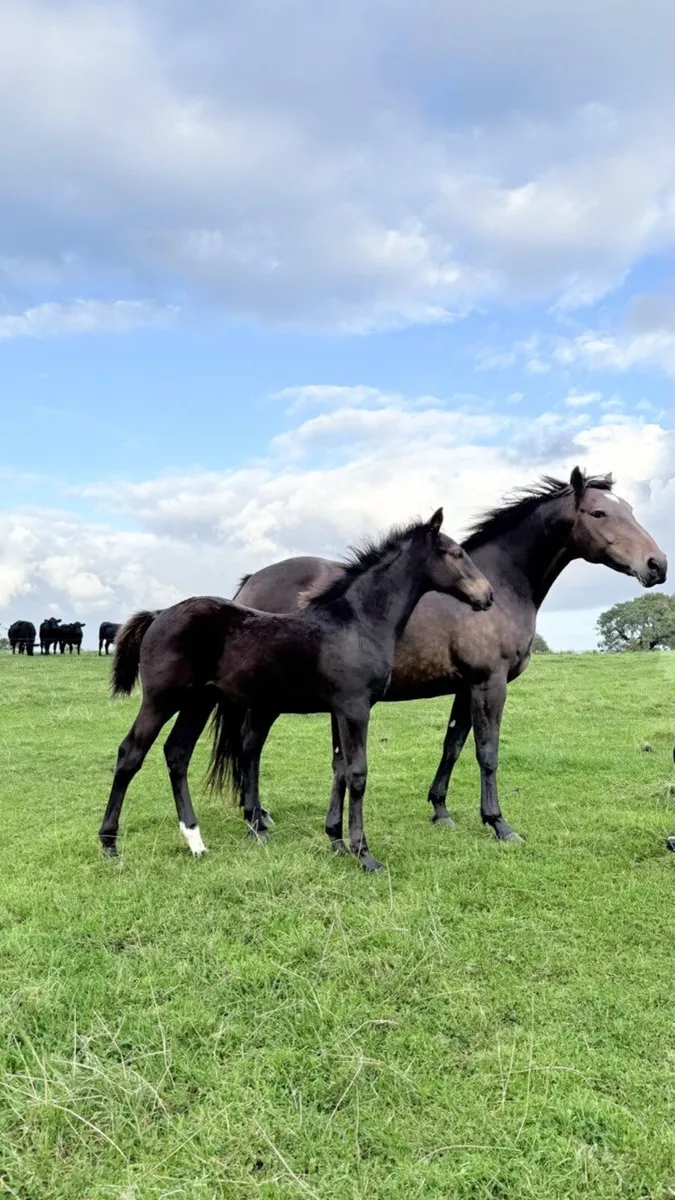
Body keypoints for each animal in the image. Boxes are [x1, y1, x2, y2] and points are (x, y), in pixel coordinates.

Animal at [99, 509, 494, 869]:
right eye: (456, 553)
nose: (488, 596)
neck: (357, 623)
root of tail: (159, 614)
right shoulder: (354, 707)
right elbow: (357, 774)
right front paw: (364, 855)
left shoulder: (340, 709)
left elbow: (341, 769)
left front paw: (338, 842)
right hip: (161, 699)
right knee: (130, 753)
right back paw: (109, 843)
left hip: (198, 702)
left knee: (177, 754)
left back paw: (196, 841)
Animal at [235, 468, 667, 844]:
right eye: (599, 513)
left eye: (630, 510)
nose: (657, 565)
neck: (502, 584)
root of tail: (251, 581)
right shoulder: (490, 683)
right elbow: (487, 752)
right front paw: (499, 823)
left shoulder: (466, 687)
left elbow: (453, 745)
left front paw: (440, 810)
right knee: (250, 746)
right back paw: (255, 820)